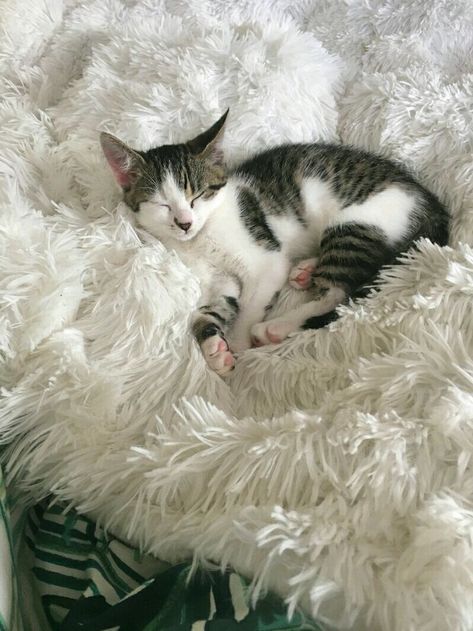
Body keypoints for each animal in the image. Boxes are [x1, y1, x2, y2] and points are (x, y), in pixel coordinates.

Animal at [99, 110, 446, 376]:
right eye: (162, 205)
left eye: (197, 196)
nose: (184, 223)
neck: (201, 239)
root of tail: (433, 205)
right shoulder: (218, 279)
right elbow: (207, 310)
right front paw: (213, 347)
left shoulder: (267, 260)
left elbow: (251, 305)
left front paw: (239, 347)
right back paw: (305, 271)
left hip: (356, 223)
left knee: (339, 292)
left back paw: (276, 327)